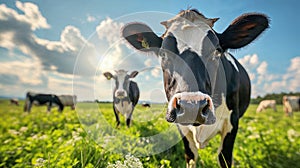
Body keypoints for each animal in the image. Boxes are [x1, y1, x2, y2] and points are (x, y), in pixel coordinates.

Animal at [122, 8, 270, 167]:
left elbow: (224, 158)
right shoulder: (182, 128)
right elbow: (191, 156)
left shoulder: (232, 122)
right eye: (163, 53)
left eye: (217, 51)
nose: (191, 106)